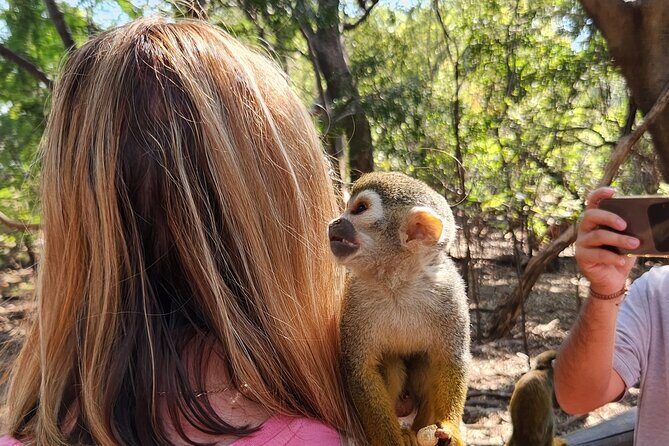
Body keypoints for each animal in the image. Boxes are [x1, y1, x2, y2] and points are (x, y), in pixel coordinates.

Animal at [328, 172, 470, 446]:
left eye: (359, 209)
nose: (335, 222)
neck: (397, 281)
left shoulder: (451, 291)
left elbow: (450, 360)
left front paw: (450, 429)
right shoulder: (355, 297)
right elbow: (361, 370)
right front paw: (390, 439)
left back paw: (419, 428)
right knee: (391, 363)